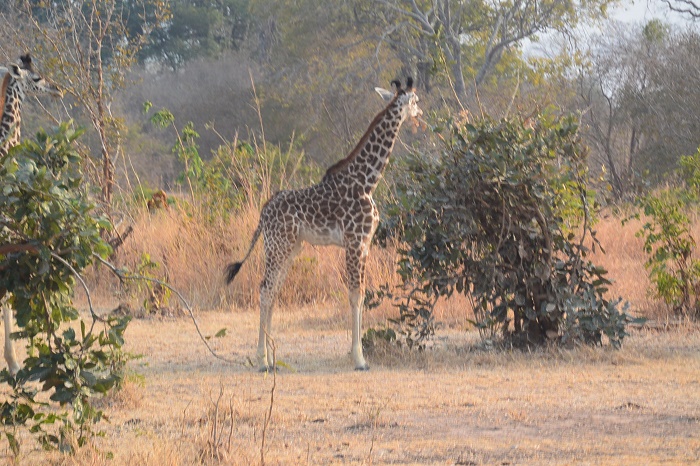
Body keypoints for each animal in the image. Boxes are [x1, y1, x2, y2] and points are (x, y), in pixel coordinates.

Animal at [226, 77, 422, 372]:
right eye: (416, 101)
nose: (421, 115)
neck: (367, 181)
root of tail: (263, 213)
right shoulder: (355, 241)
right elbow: (355, 295)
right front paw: (359, 359)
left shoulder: (365, 243)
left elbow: (361, 294)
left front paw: (359, 355)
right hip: (278, 246)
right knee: (265, 290)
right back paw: (261, 360)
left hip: (290, 247)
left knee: (273, 290)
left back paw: (272, 358)